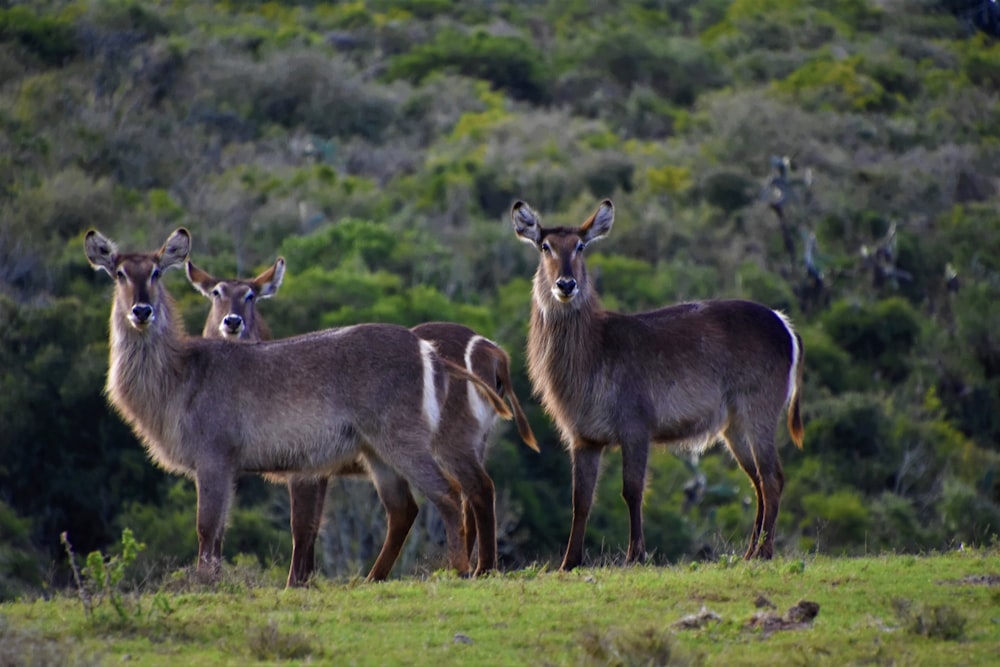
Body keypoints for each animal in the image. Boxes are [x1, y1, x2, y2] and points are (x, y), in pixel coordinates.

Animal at [82, 227, 512, 580]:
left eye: (156, 272)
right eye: (119, 273)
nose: (141, 310)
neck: (181, 375)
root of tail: (428, 350)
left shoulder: (216, 457)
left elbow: (208, 529)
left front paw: (204, 585)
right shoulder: (246, 466)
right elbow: (222, 533)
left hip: (407, 441)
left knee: (451, 493)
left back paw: (462, 569)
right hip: (377, 454)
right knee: (406, 508)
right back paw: (374, 578)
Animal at [512, 201, 808, 572]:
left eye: (580, 246)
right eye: (545, 246)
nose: (566, 284)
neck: (593, 353)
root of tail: (785, 325)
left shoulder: (636, 426)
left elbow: (632, 490)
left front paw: (635, 555)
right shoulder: (583, 437)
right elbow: (580, 500)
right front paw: (569, 562)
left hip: (759, 411)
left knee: (773, 478)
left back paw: (764, 552)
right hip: (734, 426)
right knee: (757, 481)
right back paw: (750, 552)